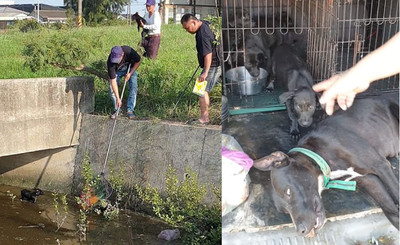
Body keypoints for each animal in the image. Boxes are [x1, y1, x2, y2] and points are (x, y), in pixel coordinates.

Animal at [253, 93, 396, 237]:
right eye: (284, 211)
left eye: (288, 192)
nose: (301, 231)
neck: (320, 155)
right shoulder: (369, 181)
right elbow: (393, 213)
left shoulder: (381, 165)